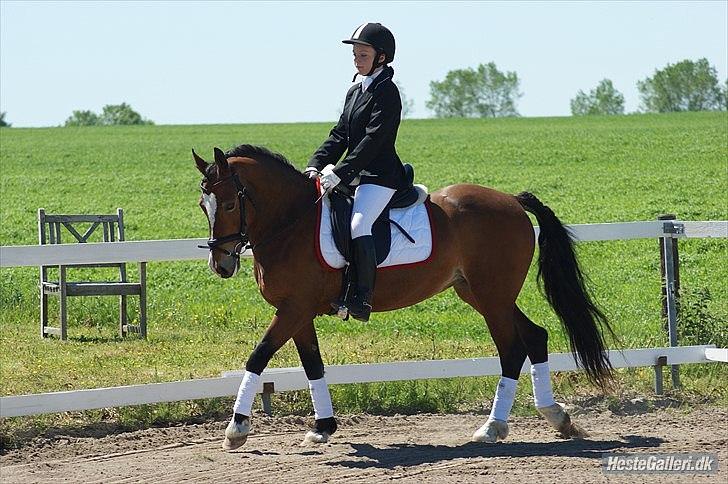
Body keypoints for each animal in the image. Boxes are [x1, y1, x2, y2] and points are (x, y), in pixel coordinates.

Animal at [195, 144, 616, 450]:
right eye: (204, 205)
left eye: (229, 203)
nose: (221, 264)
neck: (290, 222)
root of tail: (511, 200)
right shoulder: (298, 312)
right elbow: (312, 365)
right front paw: (322, 427)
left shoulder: (294, 308)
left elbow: (258, 356)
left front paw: (236, 429)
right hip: (481, 294)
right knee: (535, 336)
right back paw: (556, 416)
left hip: (492, 296)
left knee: (512, 349)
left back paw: (492, 428)